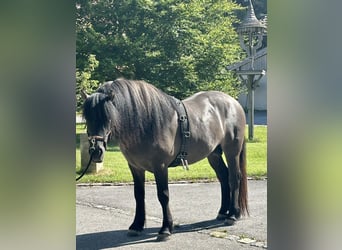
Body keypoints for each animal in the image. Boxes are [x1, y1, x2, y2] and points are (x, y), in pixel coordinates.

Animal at [83, 79, 248, 241]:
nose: (96, 151)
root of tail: (234, 103)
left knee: (234, 178)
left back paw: (233, 215)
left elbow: (163, 195)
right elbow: (138, 195)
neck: (147, 124)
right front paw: (136, 226)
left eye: (108, 117)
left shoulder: (160, 166)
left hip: (232, 152)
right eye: (87, 118)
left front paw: (166, 228)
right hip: (213, 154)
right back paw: (222, 212)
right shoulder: (135, 167)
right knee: (224, 177)